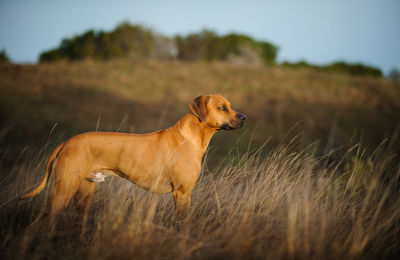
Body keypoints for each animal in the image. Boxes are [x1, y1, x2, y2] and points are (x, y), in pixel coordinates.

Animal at [20, 93, 247, 225]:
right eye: (222, 108)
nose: (244, 117)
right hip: (63, 191)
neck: (192, 136)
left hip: (84, 193)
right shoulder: (183, 194)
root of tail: (66, 143)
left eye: (230, 105)